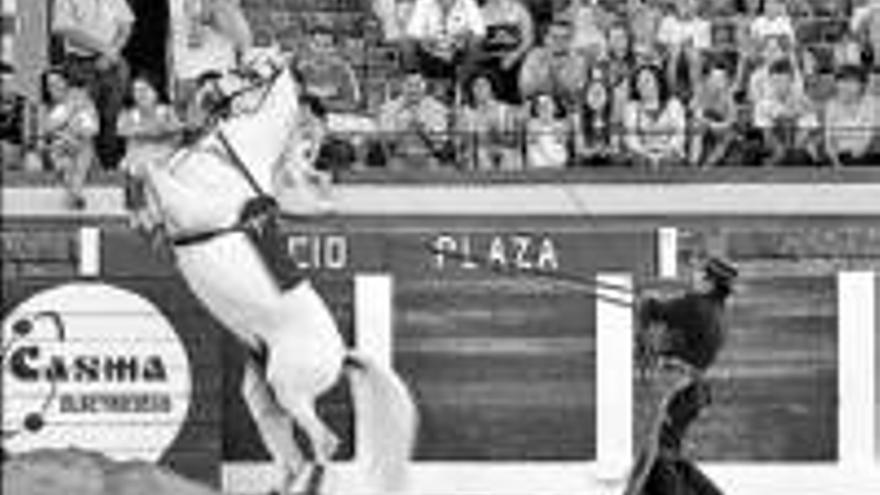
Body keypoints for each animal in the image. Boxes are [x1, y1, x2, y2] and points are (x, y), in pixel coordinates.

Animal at [143, 48, 418, 494]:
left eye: (253, 69)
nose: (206, 85)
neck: (232, 153)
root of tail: (341, 354)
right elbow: (158, 177)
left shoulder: (193, 209)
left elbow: (153, 172)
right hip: (266, 398)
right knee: (291, 458)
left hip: (292, 390)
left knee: (324, 442)